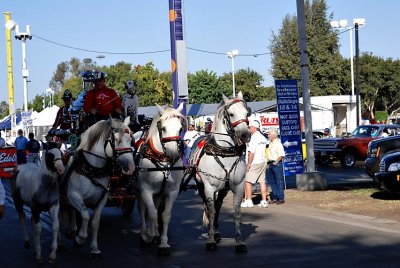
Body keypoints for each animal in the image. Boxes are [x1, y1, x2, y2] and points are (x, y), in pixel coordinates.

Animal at [64, 119, 134, 258]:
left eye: (131, 140)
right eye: (116, 140)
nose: (130, 167)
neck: (92, 169)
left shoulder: (102, 199)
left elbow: (95, 223)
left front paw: (95, 249)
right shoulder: (74, 195)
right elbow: (85, 216)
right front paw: (80, 239)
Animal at [137, 102, 187, 255]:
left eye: (180, 128)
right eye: (163, 128)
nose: (173, 153)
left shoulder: (172, 191)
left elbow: (165, 215)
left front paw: (163, 243)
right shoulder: (145, 189)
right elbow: (152, 213)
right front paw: (147, 236)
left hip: (159, 192)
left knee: (157, 203)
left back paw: (155, 232)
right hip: (138, 190)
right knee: (142, 209)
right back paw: (145, 232)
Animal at [190, 92, 250, 253]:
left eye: (247, 112)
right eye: (231, 114)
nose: (246, 135)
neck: (224, 152)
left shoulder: (238, 186)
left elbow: (236, 213)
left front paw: (239, 242)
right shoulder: (209, 187)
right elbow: (210, 211)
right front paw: (210, 240)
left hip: (223, 189)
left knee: (218, 205)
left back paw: (216, 232)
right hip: (201, 186)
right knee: (209, 206)